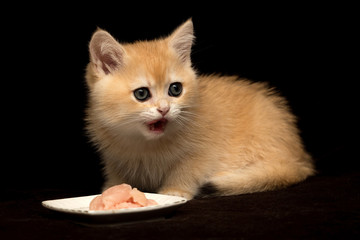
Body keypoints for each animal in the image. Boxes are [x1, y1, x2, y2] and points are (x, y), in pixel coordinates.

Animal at [85, 18, 316, 200]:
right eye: (141, 94)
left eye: (175, 89)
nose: (164, 109)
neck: (145, 145)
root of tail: (300, 158)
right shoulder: (114, 157)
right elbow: (117, 174)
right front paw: (111, 190)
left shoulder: (204, 152)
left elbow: (188, 169)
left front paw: (174, 191)